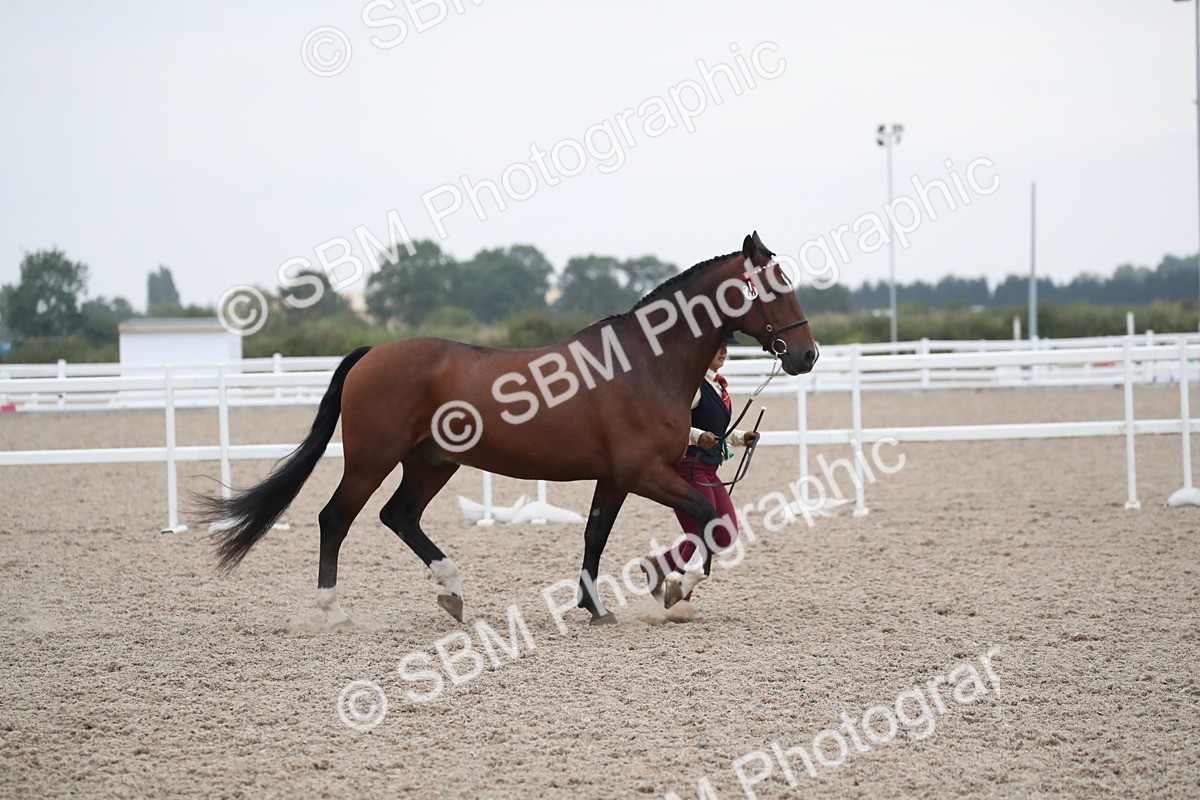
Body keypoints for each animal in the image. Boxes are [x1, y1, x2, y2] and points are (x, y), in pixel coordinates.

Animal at [198, 231, 818, 628]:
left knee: (399, 516)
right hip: (372, 459)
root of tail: (373, 352)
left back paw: (452, 592)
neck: (644, 362)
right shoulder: (644, 472)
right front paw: (674, 586)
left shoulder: (617, 477)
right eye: (772, 285)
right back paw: (334, 612)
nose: (806, 355)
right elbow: (710, 516)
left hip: (431, 462)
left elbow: (596, 535)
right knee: (336, 518)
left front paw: (596, 606)